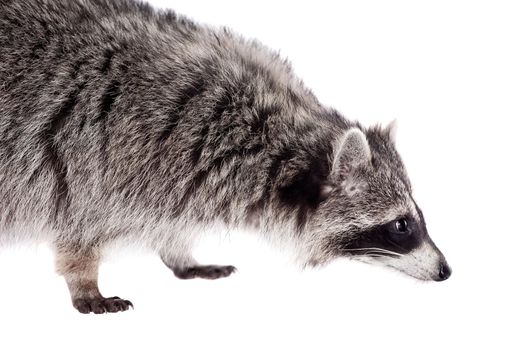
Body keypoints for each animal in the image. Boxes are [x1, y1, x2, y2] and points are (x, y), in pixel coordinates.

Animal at [0, 0, 450, 314]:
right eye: (401, 224)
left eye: (417, 216)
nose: (446, 270)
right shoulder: (107, 157)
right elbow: (78, 227)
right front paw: (84, 280)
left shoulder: (178, 174)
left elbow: (171, 217)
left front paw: (178, 252)